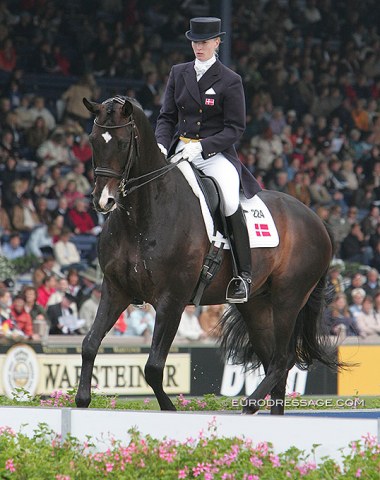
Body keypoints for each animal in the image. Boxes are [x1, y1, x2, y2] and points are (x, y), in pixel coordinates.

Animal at [73, 95, 338, 414]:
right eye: (93, 140)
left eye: (124, 143)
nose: (103, 200)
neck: (143, 215)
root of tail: (316, 219)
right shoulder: (116, 290)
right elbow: (89, 344)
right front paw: (82, 401)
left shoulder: (172, 300)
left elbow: (153, 367)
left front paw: (170, 409)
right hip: (256, 305)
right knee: (275, 363)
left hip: (288, 298)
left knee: (281, 361)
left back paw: (249, 407)